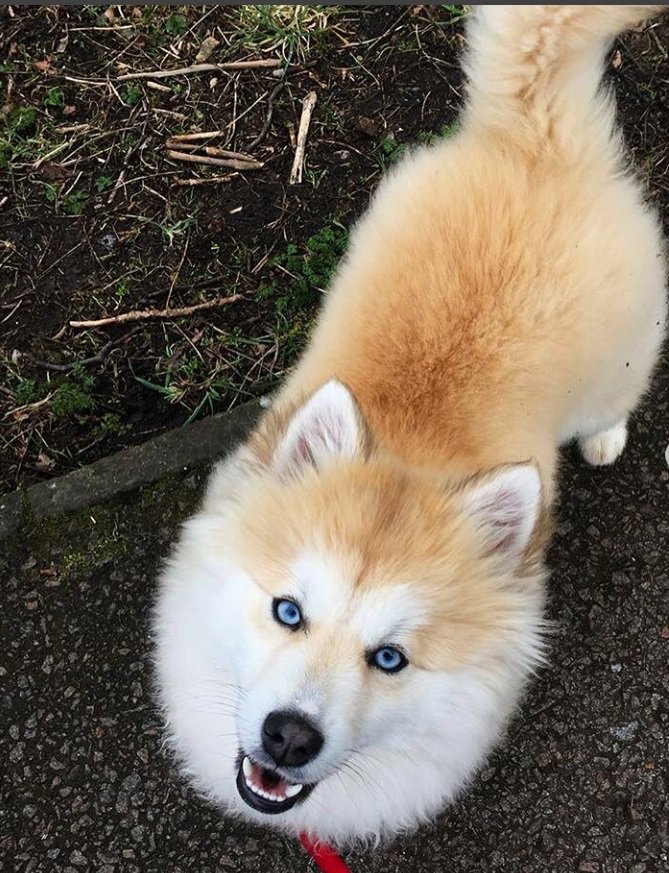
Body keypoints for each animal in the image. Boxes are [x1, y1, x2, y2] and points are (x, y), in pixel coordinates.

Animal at [154, 1, 664, 844]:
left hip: (615, 363)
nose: (287, 736)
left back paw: (602, 438)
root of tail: (531, 137)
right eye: (287, 611)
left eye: (389, 658)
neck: (409, 447)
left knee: (614, 401)